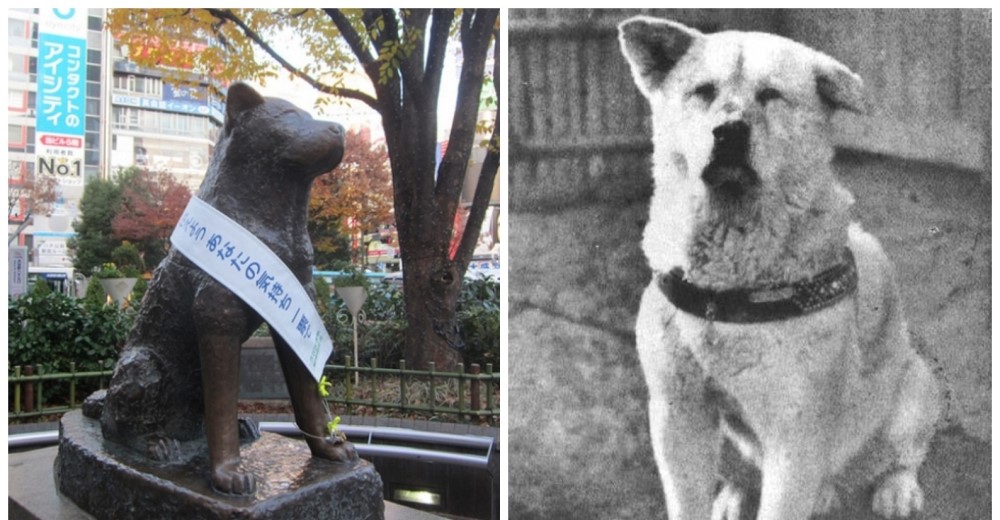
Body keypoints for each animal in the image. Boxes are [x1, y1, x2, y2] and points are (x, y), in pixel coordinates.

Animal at [616, 16, 936, 520]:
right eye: (703, 91)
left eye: (770, 94)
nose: (728, 132)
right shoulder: (677, 414)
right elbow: (686, 499)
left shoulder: (796, 432)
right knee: (742, 476)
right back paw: (734, 497)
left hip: (915, 389)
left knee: (900, 455)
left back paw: (895, 489)